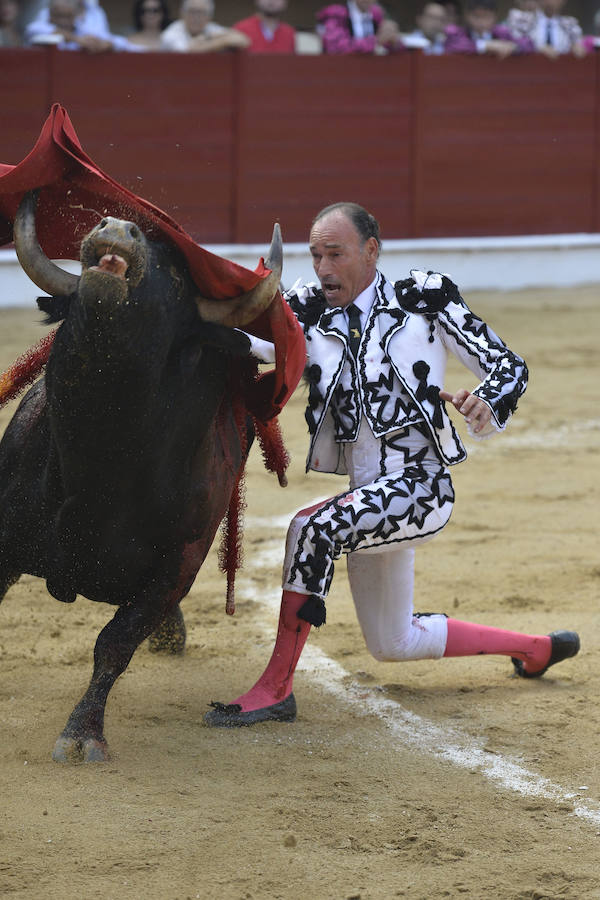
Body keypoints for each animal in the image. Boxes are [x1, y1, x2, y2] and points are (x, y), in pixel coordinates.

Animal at [0, 193, 286, 764]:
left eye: (176, 274)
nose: (115, 228)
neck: (104, 458)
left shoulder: (178, 564)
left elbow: (116, 642)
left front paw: (82, 734)